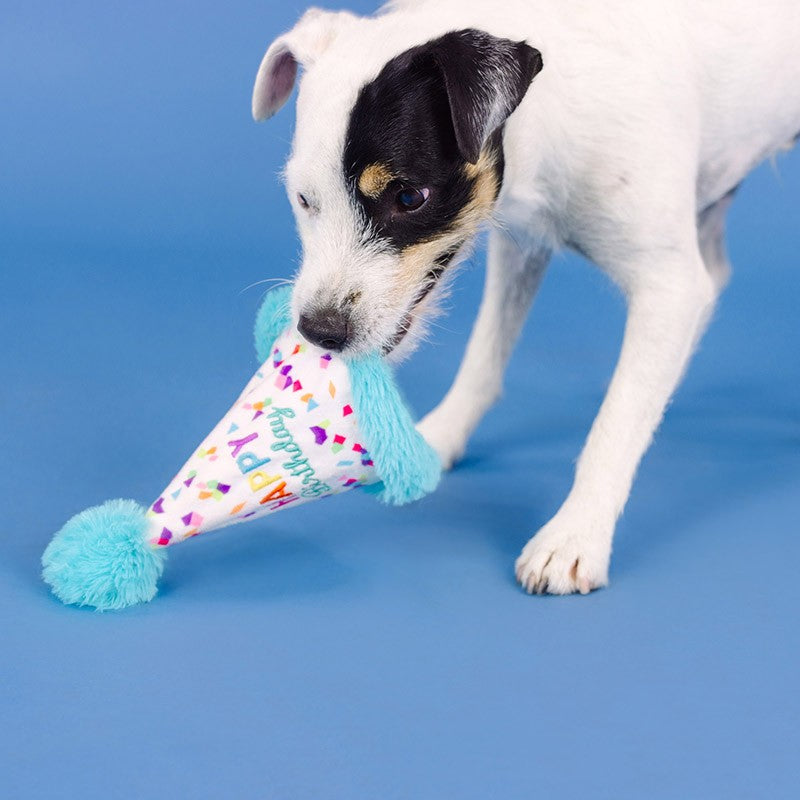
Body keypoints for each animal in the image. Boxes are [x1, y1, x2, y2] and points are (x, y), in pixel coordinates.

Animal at [250, 0, 800, 592]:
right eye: (303, 199)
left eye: (409, 197)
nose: (319, 331)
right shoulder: (522, 247)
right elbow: (485, 355)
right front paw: (439, 438)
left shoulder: (668, 285)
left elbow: (613, 423)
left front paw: (577, 533)